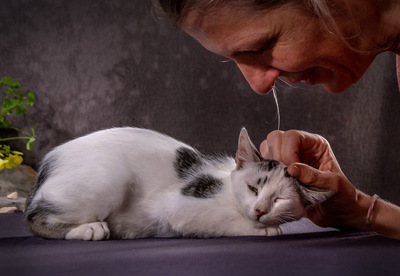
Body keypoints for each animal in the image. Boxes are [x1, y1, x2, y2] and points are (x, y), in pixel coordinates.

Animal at [23, 128, 332, 240]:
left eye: (279, 199)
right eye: (253, 188)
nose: (259, 211)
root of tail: (48, 163)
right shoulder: (180, 206)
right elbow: (225, 222)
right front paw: (263, 229)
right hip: (107, 181)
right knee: (34, 219)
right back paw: (88, 229)